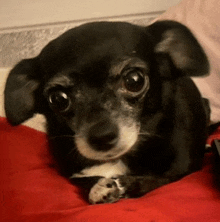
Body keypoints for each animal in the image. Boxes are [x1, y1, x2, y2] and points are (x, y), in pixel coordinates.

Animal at [3, 20, 210, 204]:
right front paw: (100, 187)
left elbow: (157, 181)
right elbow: (86, 180)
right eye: (58, 99)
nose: (101, 137)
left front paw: (128, 185)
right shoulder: (72, 173)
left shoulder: (182, 171)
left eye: (134, 80)